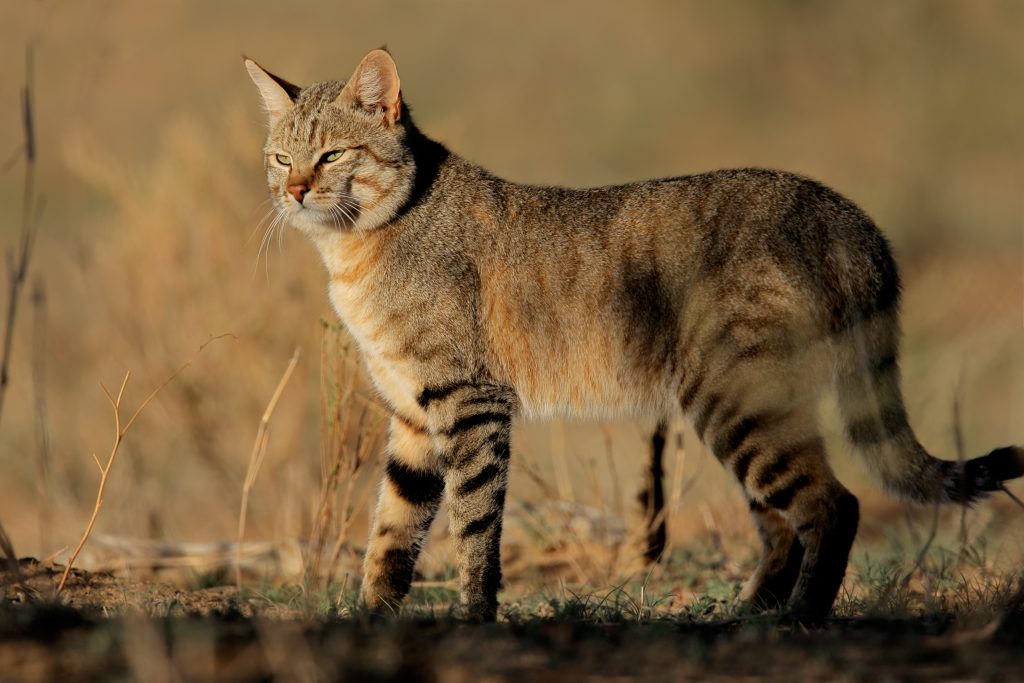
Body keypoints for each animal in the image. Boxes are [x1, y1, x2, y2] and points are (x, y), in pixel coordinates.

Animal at [243, 50, 1019, 622]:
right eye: (281, 158)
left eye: (334, 155)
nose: (295, 192)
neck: (356, 251)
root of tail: (845, 214)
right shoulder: (410, 412)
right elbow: (391, 531)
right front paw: (371, 618)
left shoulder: (469, 399)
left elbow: (473, 525)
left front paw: (474, 616)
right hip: (746, 409)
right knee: (780, 522)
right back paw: (750, 613)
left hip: (737, 400)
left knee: (834, 504)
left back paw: (800, 619)